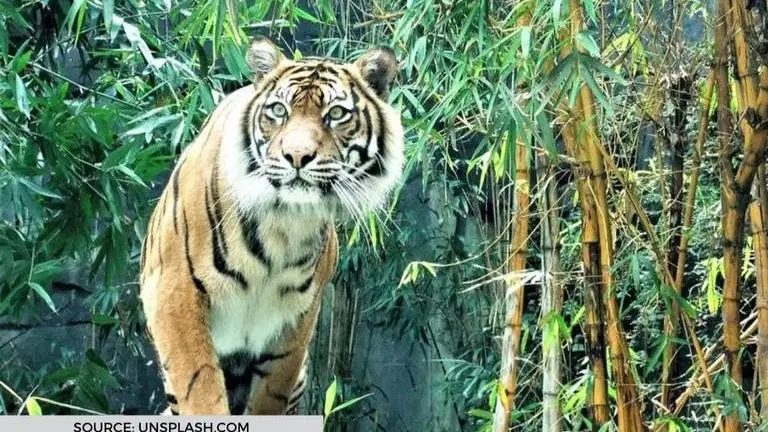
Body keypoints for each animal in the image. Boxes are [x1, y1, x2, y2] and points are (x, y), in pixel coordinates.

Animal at [138, 37, 404, 415]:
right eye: (279, 111)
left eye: (337, 114)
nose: (297, 156)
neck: (285, 221)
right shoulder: (174, 290)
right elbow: (198, 386)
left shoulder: (297, 317)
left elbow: (272, 392)